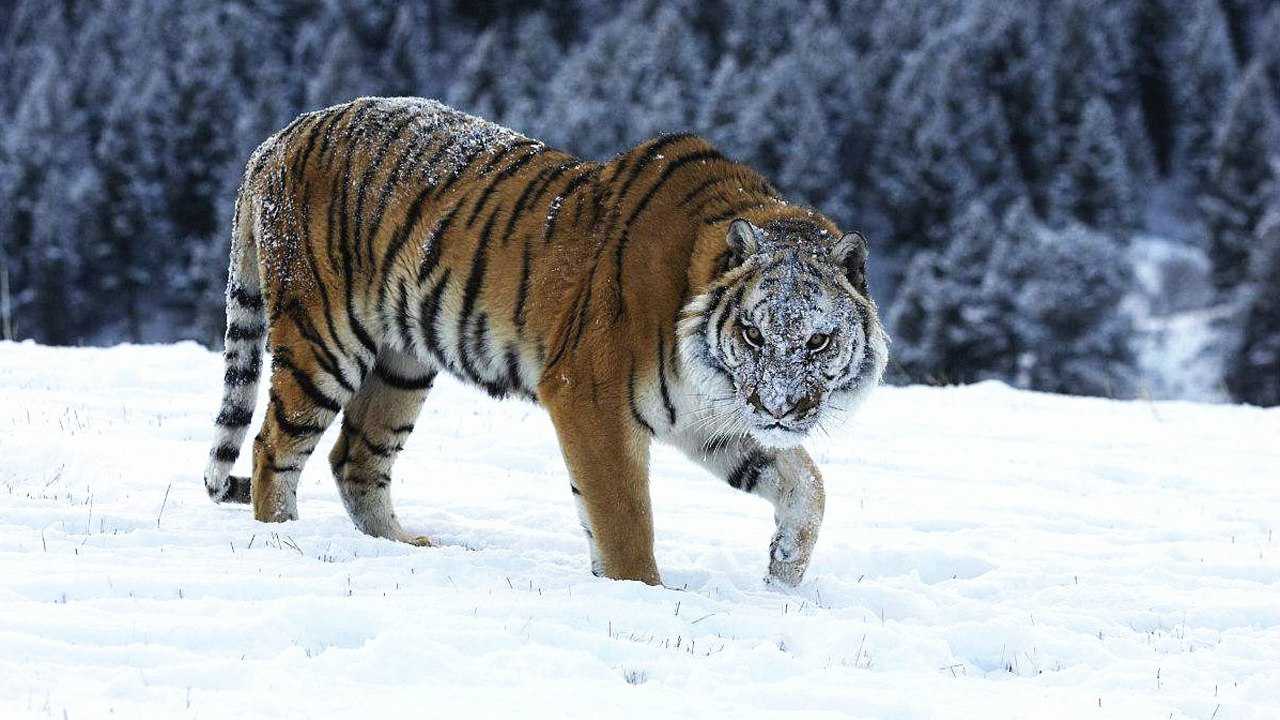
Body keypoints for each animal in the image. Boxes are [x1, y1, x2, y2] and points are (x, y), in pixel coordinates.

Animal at [202, 97, 888, 587]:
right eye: (752, 332)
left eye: (819, 341)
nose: (779, 408)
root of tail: (278, 137)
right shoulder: (592, 401)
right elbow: (624, 519)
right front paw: (641, 594)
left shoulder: (711, 419)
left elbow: (806, 484)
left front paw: (783, 575)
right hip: (324, 341)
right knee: (272, 447)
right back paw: (284, 540)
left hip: (401, 363)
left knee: (356, 457)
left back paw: (401, 547)